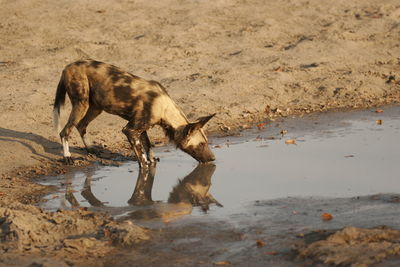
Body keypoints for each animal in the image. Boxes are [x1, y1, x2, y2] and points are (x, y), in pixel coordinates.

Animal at [53, 60, 217, 169]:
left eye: (206, 142)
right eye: (202, 144)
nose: (213, 158)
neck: (164, 108)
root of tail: (67, 66)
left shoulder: (141, 129)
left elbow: (149, 148)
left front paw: (152, 161)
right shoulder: (130, 130)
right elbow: (143, 160)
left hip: (96, 107)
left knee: (81, 125)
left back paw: (91, 149)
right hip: (81, 104)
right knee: (64, 132)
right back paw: (67, 157)